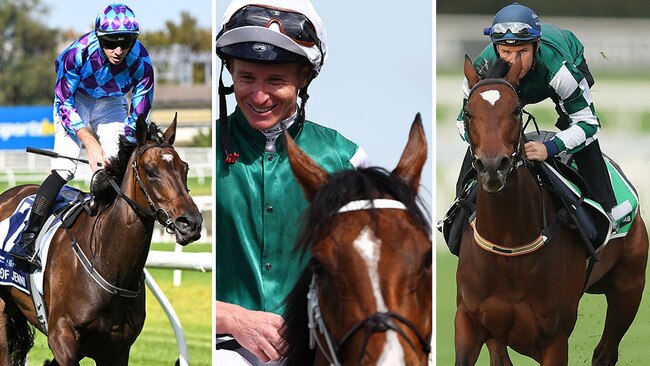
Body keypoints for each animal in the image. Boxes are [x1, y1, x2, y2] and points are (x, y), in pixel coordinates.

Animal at [0, 116, 201, 364]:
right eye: (150, 171)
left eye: (185, 167)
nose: (191, 223)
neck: (107, 261)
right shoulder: (61, 337)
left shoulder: (117, 349)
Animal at [456, 55, 648, 366]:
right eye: (469, 113)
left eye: (516, 110)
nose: (493, 166)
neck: (509, 248)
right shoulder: (470, 322)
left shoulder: (554, 339)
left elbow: (585, 120)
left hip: (629, 287)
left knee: (605, 352)